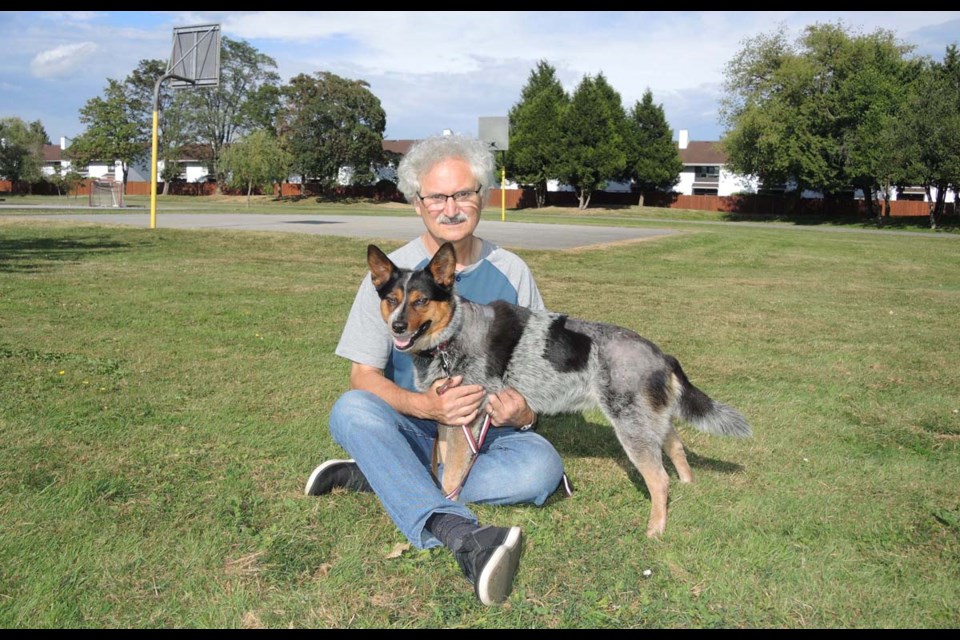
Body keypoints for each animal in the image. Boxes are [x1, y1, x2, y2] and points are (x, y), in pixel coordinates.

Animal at [366, 242, 752, 536]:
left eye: (420, 300)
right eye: (392, 299)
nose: (397, 326)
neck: (451, 336)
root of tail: (660, 353)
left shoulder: (468, 420)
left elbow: (452, 477)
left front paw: (450, 505)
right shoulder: (449, 416)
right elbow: (445, 465)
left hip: (632, 429)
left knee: (659, 479)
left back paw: (656, 528)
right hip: (650, 421)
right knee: (675, 446)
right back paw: (689, 485)